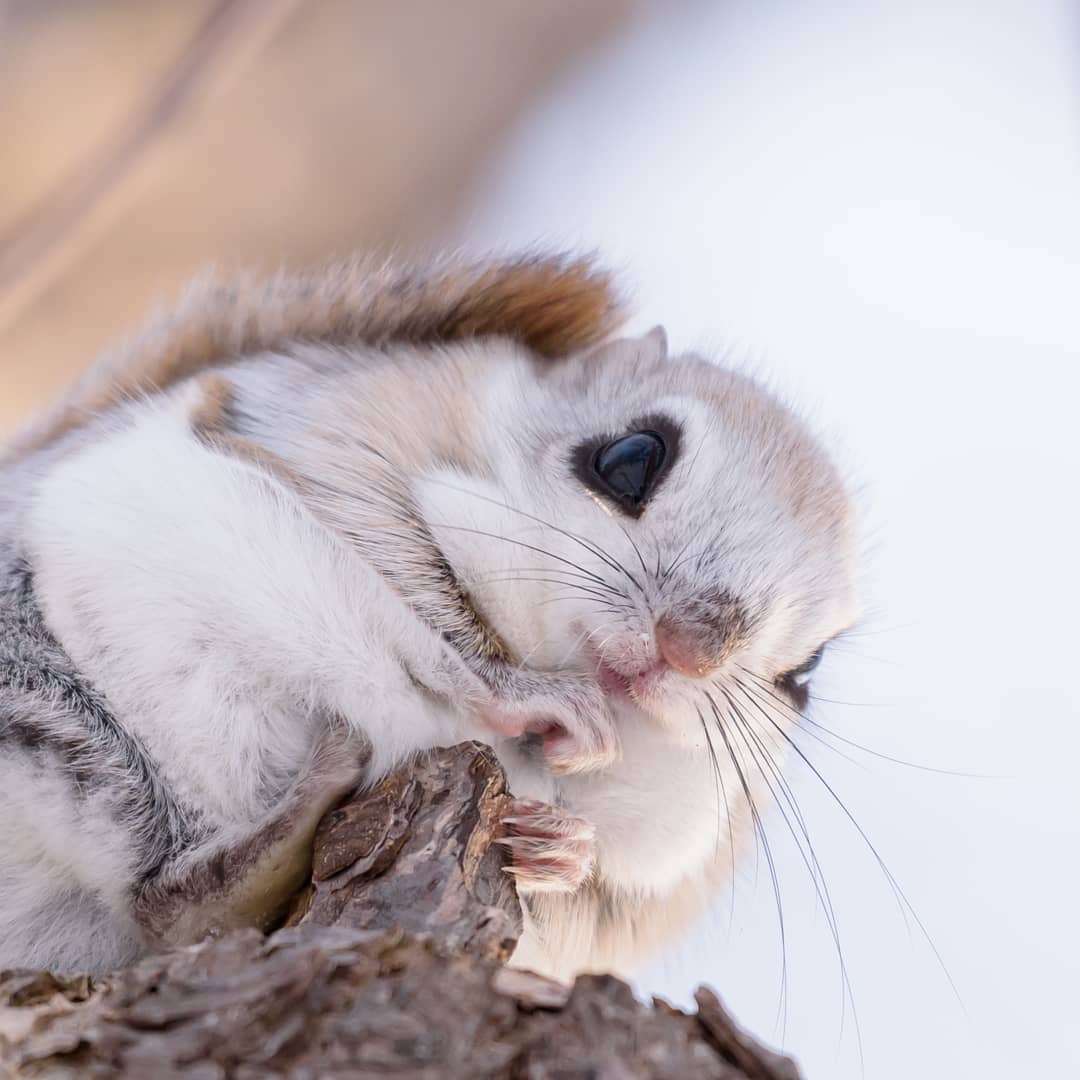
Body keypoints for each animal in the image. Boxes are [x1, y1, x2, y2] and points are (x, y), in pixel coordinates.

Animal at [2, 252, 859, 980]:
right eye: (630, 456)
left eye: (804, 674)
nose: (689, 649)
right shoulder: (342, 434)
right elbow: (413, 599)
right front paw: (522, 694)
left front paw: (563, 849)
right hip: (48, 682)